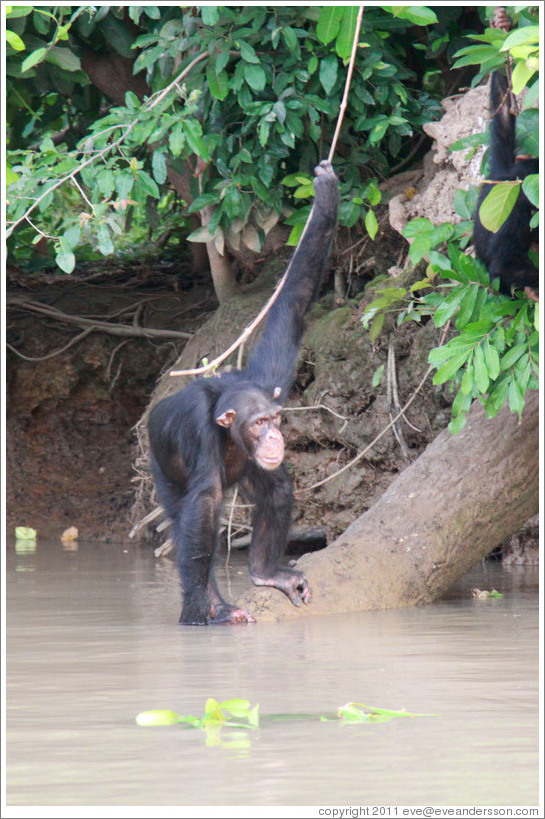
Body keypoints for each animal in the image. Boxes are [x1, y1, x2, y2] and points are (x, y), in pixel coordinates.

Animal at [147, 160, 338, 628]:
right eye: (258, 423)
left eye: (274, 419)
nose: (273, 436)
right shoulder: (199, 429)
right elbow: (203, 508)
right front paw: (199, 607)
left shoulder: (267, 378)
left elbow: (292, 303)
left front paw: (325, 195)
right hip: (161, 468)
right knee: (192, 518)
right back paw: (213, 605)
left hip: (249, 471)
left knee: (275, 486)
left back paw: (267, 572)